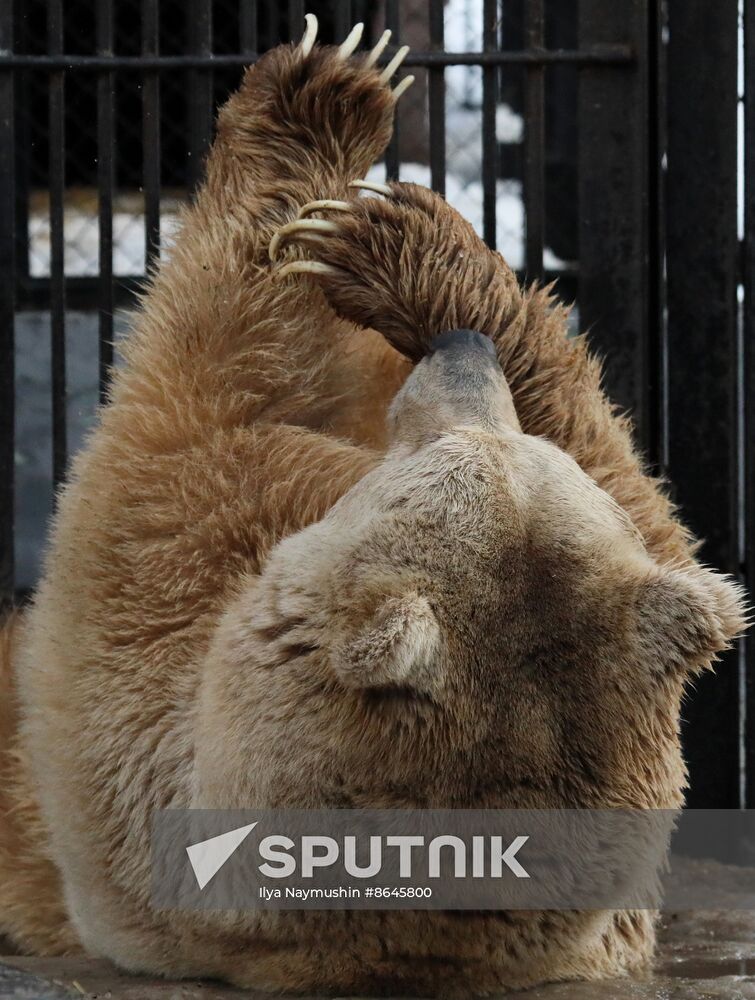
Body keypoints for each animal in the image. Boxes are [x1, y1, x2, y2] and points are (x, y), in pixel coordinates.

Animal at [0, 15, 748, 1000]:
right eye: (511, 441)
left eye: (454, 443)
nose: (462, 350)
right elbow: (647, 505)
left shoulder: (147, 692)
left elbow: (190, 407)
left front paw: (333, 151)